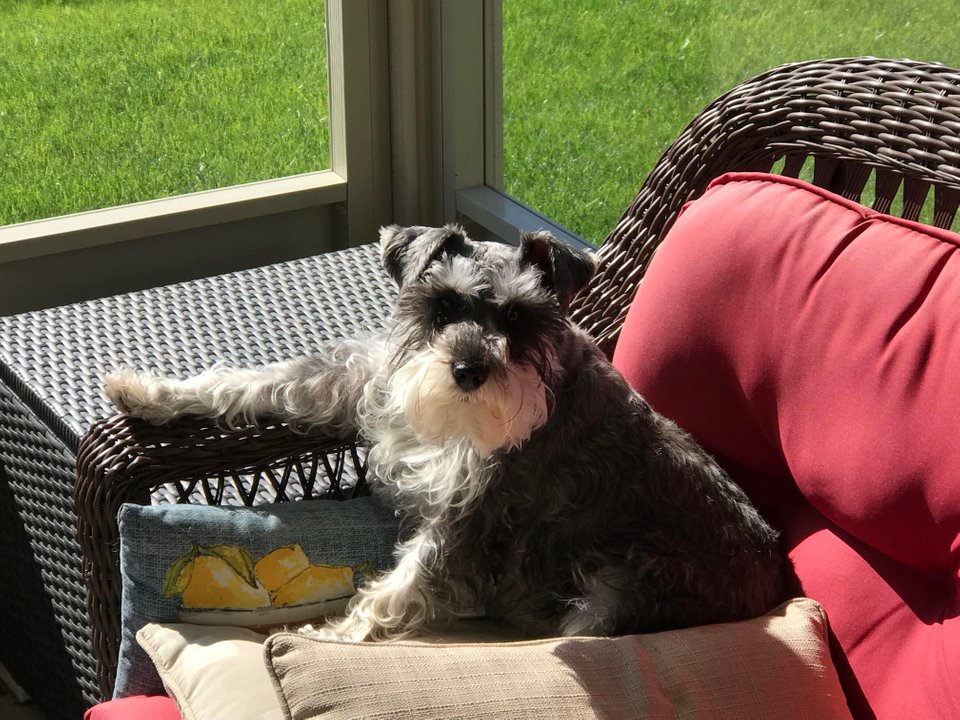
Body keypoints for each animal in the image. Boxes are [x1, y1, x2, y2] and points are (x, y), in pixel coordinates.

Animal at [105, 225, 784, 640]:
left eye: (519, 318)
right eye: (444, 305)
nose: (470, 369)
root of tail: (776, 576)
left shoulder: (474, 515)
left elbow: (397, 589)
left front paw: (330, 638)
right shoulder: (358, 379)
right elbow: (255, 384)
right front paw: (146, 391)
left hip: (621, 594)